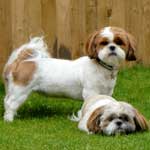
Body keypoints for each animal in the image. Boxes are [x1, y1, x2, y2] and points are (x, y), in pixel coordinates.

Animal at [2, 26, 136, 121]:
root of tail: (21, 62)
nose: (112, 47)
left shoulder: (106, 93)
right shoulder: (91, 92)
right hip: (20, 91)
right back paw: (9, 119)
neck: (101, 66)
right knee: (10, 103)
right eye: (103, 43)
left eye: (120, 42)